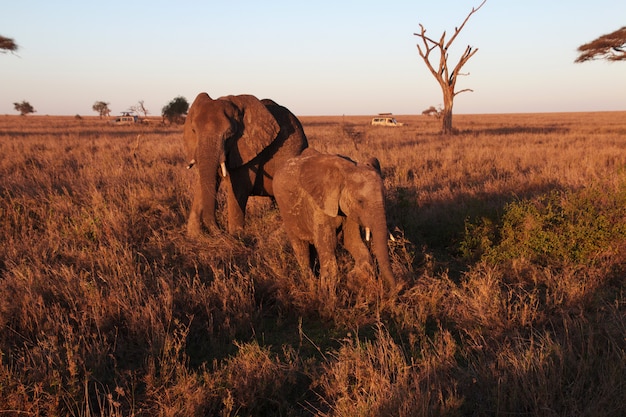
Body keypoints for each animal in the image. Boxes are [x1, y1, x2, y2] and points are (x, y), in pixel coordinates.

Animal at [180, 92, 308, 236]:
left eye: (229, 134)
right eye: (193, 131)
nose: (219, 230)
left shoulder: (249, 148)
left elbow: (240, 186)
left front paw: (236, 235)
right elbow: (205, 181)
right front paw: (194, 236)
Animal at [272, 148, 394, 290]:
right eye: (360, 201)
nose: (398, 288)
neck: (347, 170)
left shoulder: (348, 210)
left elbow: (352, 241)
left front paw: (354, 280)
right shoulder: (319, 204)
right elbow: (328, 246)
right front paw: (327, 292)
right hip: (286, 212)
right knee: (300, 248)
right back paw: (310, 283)